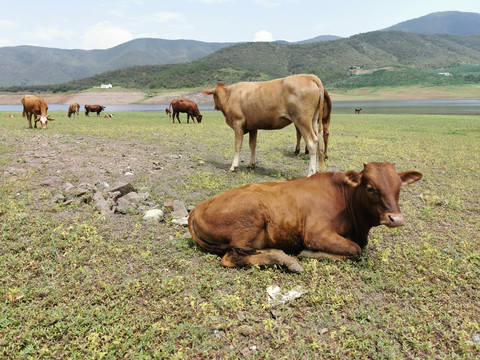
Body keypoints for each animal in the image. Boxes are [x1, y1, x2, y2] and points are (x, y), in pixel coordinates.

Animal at [188, 162, 420, 272]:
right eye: (370, 188)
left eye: (399, 187)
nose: (396, 219)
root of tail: (198, 207)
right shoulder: (316, 234)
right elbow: (355, 250)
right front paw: (311, 254)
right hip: (250, 218)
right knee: (232, 257)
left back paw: (284, 257)